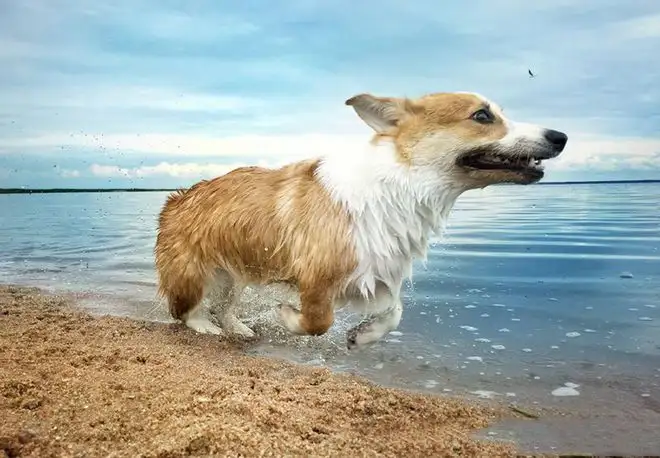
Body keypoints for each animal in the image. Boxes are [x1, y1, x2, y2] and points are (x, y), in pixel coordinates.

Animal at [152, 91, 564, 348]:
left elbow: (395, 312)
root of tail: (176, 199)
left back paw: (238, 327)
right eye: (482, 115)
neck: (399, 186)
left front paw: (362, 336)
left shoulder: (377, 270)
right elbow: (319, 321)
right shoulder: (316, 277)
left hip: (231, 277)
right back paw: (207, 328)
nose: (560, 136)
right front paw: (285, 315)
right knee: (185, 311)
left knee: (224, 306)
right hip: (193, 276)